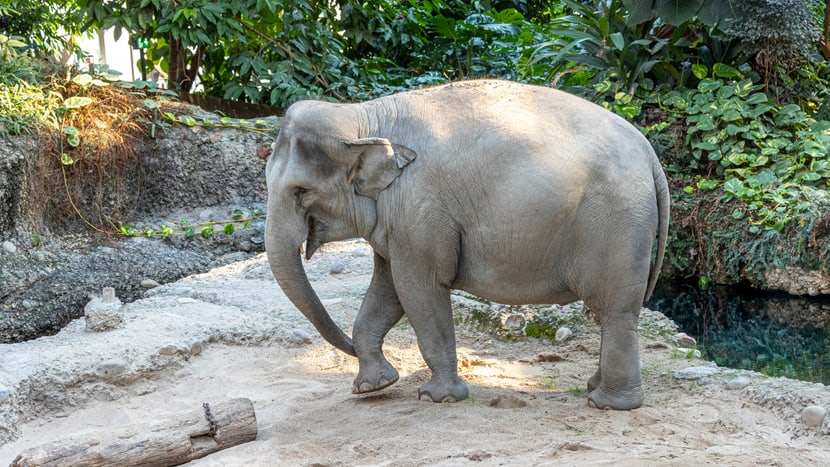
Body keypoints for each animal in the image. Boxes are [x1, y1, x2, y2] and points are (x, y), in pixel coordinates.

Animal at [265, 79, 669, 410]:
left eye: (301, 192)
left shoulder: (420, 208)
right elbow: (388, 290)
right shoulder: (398, 221)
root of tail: (650, 155)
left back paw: (608, 403)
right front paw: (372, 387)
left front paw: (437, 397)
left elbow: (419, 289)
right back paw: (593, 388)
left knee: (615, 310)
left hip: (617, 224)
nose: (346, 347)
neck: (360, 115)